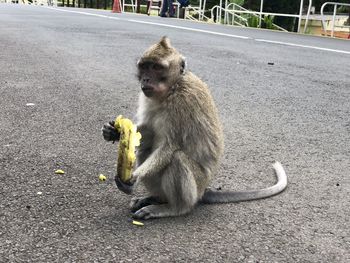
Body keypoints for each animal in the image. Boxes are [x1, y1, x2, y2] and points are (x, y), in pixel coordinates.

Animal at [101, 36, 288, 220]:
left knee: (177, 159)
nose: (145, 79)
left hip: (196, 186)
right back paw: (156, 198)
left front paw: (135, 177)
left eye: (156, 67)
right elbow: (148, 131)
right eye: (144, 67)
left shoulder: (183, 103)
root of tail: (203, 191)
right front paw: (112, 131)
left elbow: (170, 147)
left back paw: (173, 208)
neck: (172, 88)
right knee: (145, 149)